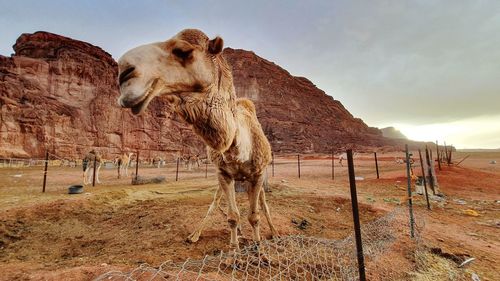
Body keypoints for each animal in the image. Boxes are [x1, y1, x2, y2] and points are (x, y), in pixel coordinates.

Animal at [118, 28, 282, 247]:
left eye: (183, 51)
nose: (123, 74)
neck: (238, 149)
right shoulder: (223, 174)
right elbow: (232, 216)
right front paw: (234, 249)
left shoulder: (257, 174)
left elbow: (254, 215)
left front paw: (259, 248)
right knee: (218, 202)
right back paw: (202, 235)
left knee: (263, 204)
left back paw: (273, 233)